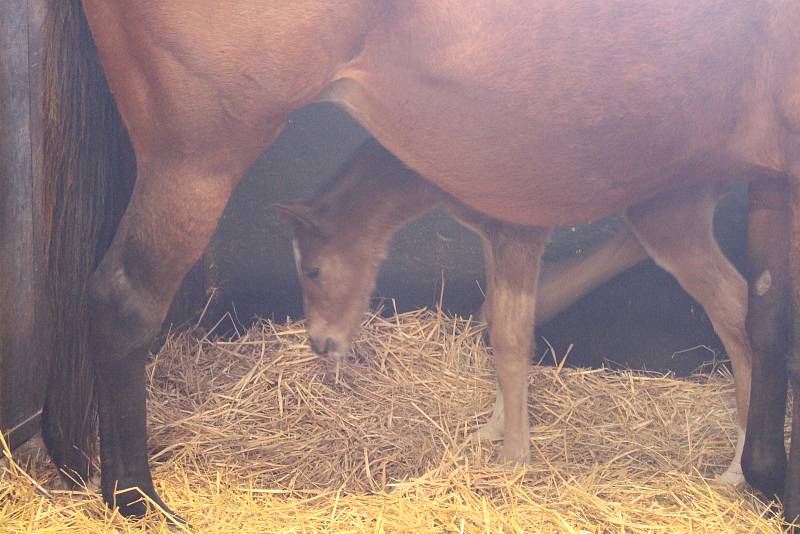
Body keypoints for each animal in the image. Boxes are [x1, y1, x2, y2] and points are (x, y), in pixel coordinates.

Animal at [280, 137, 752, 486]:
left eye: (313, 270)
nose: (319, 342)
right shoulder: (494, 234)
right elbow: (498, 318)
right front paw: (496, 427)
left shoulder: (517, 233)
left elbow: (509, 337)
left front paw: (513, 457)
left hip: (670, 216)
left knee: (736, 305)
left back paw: (736, 469)